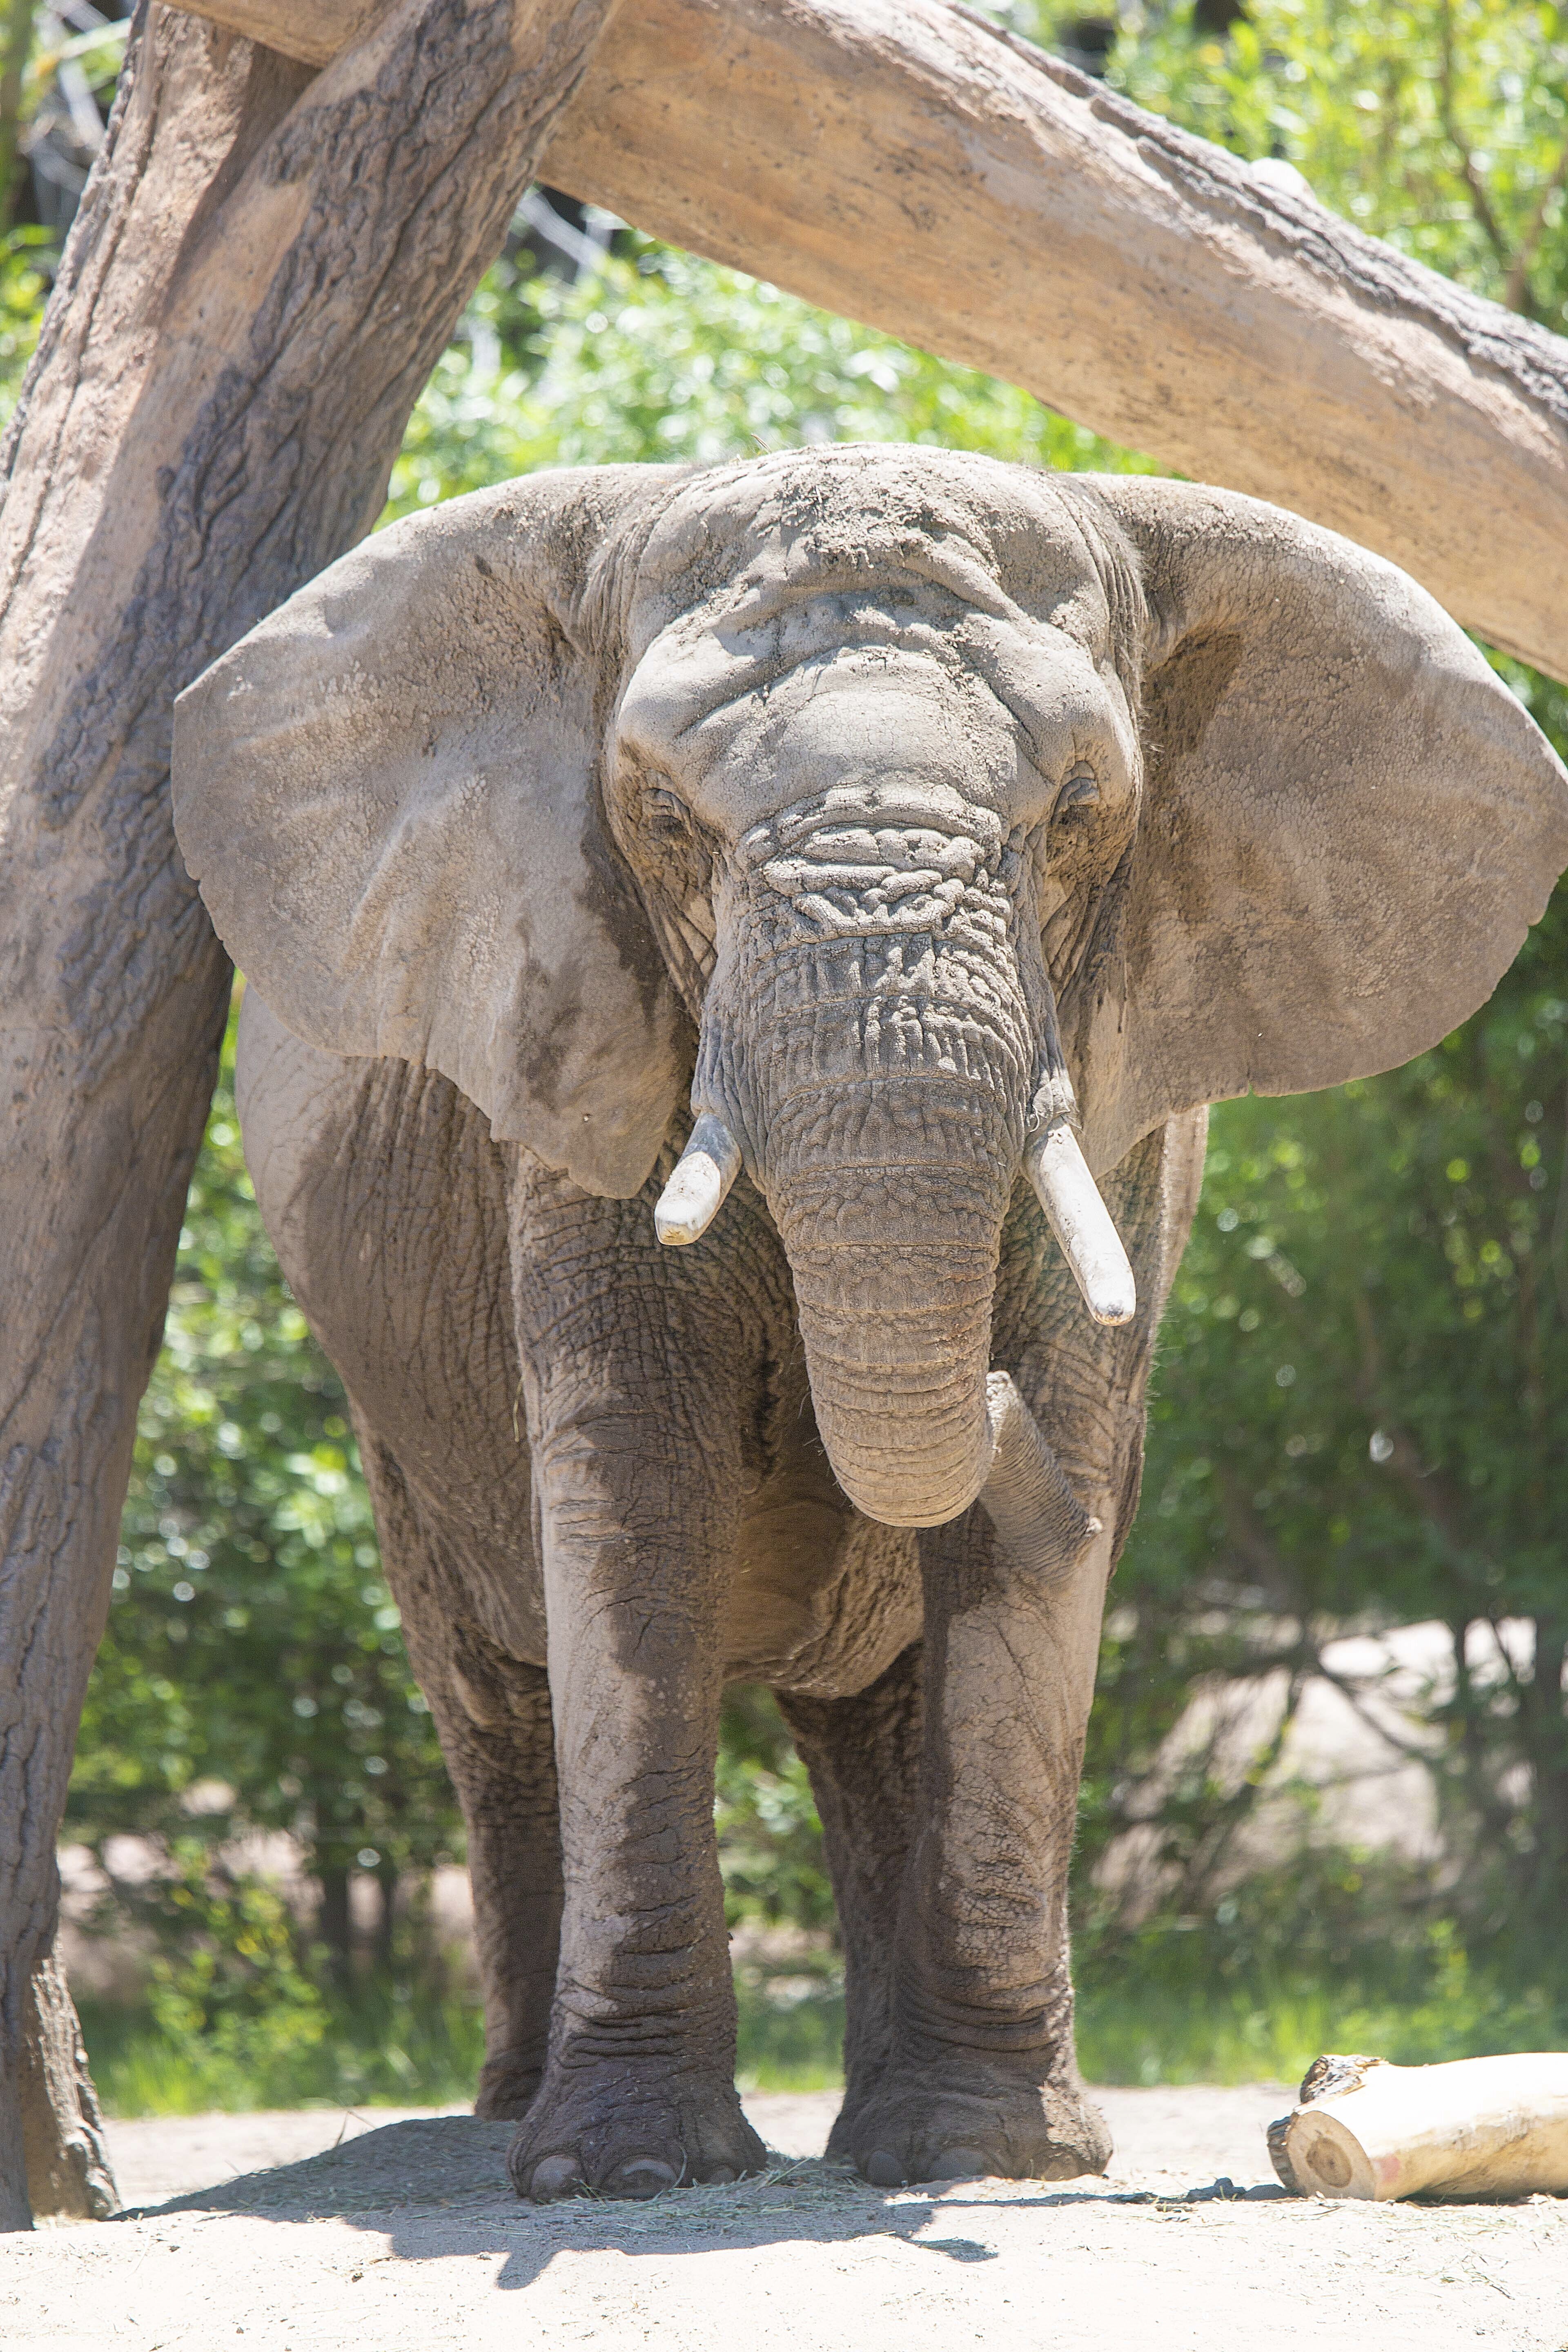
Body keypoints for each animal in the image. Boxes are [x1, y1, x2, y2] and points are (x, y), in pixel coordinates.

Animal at [172, 444, 1568, 2201]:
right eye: (661, 817)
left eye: (1081, 812)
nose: (978, 1393)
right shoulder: (576, 1047)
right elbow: (636, 1489)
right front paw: (622, 2175)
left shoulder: (1127, 1079)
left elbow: (1042, 1492)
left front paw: (992, 2157)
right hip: (395, 1424)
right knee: (497, 1695)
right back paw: (511, 2110)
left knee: (881, 1715)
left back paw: (889, 2129)